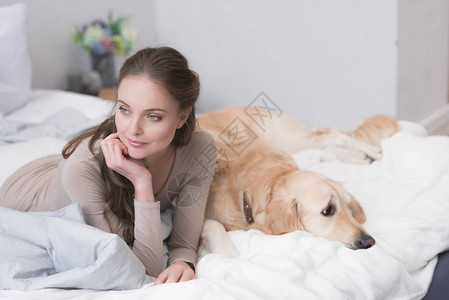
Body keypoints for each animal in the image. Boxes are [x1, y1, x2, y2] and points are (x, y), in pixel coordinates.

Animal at [198, 105, 398, 255]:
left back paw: (370, 152)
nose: (369, 241)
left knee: (330, 135)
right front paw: (228, 253)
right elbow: (214, 225)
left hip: (290, 141)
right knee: (328, 142)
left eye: (348, 208)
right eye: (328, 210)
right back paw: (360, 157)